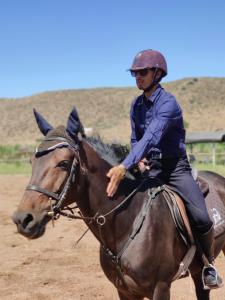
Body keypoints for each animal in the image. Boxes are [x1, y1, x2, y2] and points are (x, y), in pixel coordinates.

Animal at [12, 108, 225, 300]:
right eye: (31, 162)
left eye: (63, 163)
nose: (23, 219)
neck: (129, 219)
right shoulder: (124, 291)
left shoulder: (161, 288)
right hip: (196, 271)